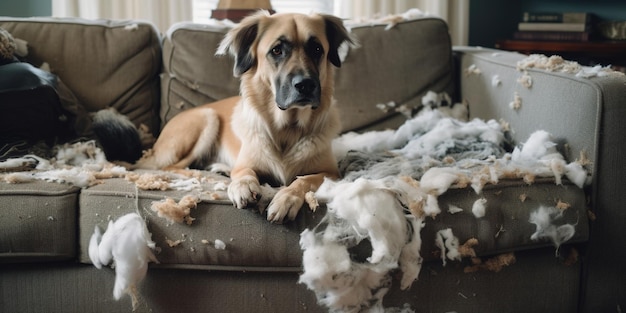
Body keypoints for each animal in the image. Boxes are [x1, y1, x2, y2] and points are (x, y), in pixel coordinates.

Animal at [97, 11, 352, 222]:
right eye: (277, 50)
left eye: (317, 49)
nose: (306, 85)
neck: (287, 128)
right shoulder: (246, 163)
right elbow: (244, 173)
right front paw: (242, 186)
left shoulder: (332, 173)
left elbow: (304, 179)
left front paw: (286, 199)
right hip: (208, 118)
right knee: (171, 166)